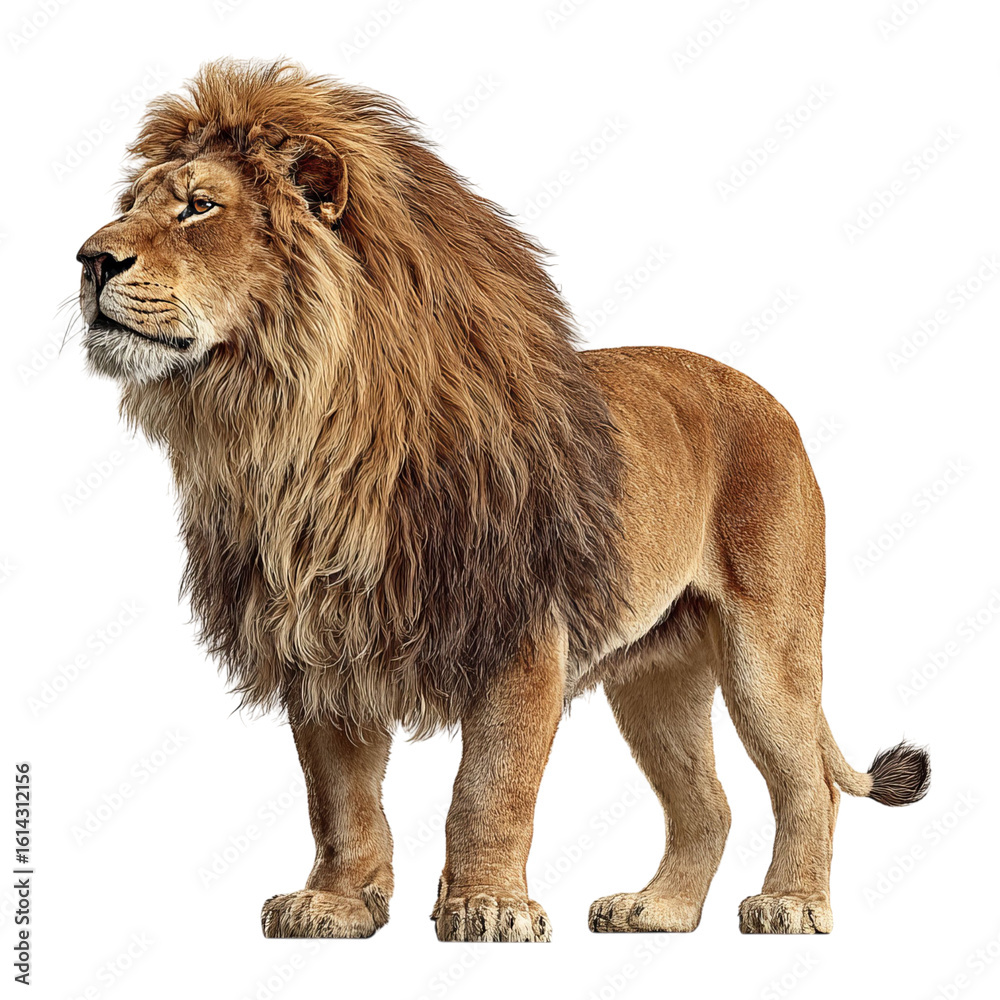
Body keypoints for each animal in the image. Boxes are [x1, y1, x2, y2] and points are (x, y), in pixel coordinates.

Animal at [77, 59, 929, 941]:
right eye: (130, 205)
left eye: (197, 206)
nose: (89, 260)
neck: (297, 427)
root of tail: (765, 397)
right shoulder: (320, 633)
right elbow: (339, 798)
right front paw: (335, 904)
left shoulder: (522, 625)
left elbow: (490, 785)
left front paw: (487, 906)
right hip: (657, 673)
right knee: (708, 803)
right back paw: (656, 909)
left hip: (769, 647)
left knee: (807, 782)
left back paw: (791, 902)